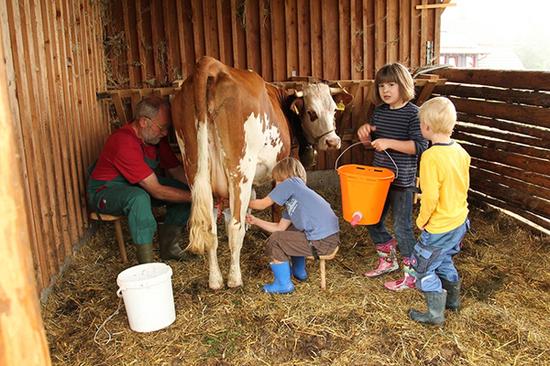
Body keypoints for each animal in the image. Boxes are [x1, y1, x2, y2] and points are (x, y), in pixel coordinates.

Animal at [172, 56, 354, 288]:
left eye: (333, 110)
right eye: (311, 113)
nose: (333, 141)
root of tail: (212, 64)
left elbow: (250, 199)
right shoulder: (278, 167)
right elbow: (274, 207)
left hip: (194, 170)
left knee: (210, 229)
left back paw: (215, 280)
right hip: (239, 170)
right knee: (234, 227)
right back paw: (234, 279)